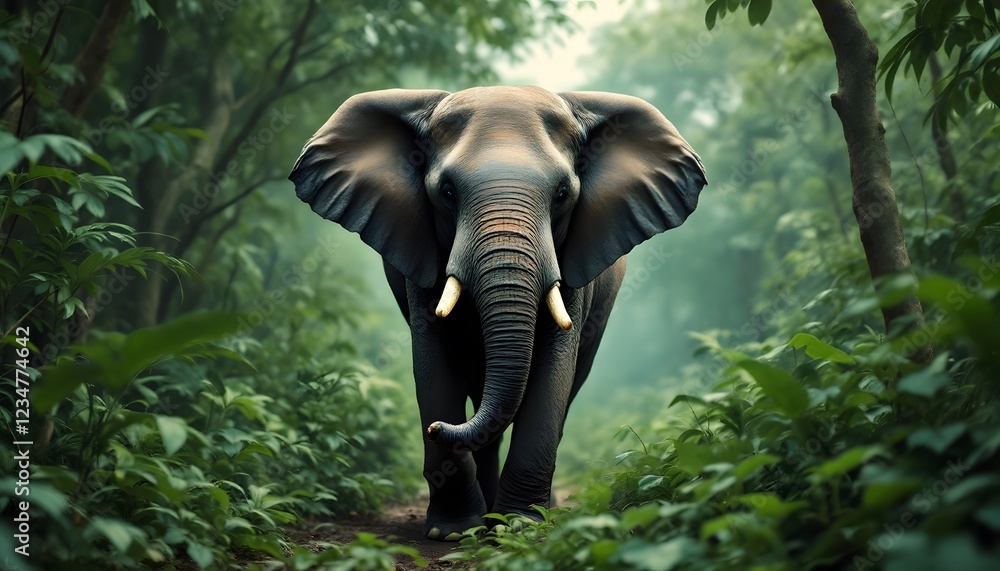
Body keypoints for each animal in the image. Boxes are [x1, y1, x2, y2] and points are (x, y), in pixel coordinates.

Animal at [288, 86, 706, 540]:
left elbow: (553, 371)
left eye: (563, 194)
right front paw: (453, 532)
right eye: (446, 192)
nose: (435, 429)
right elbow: (433, 364)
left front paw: (519, 528)